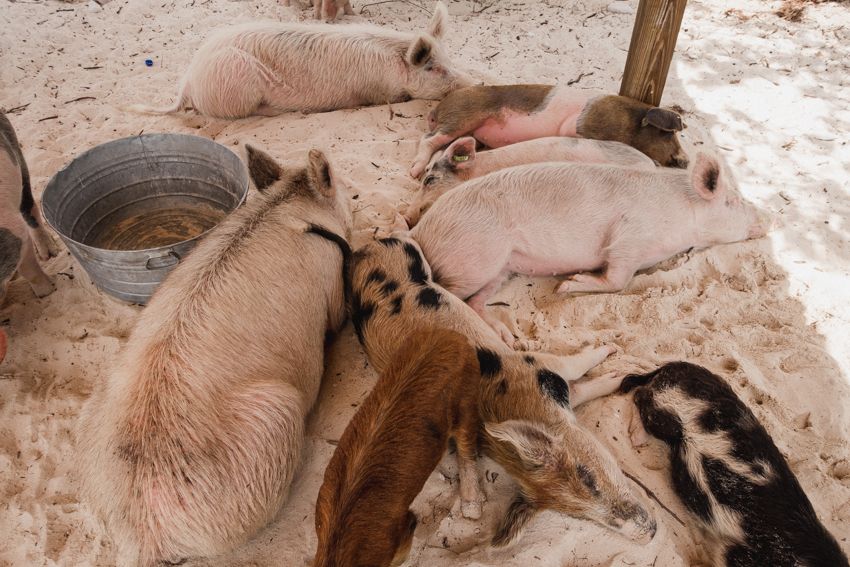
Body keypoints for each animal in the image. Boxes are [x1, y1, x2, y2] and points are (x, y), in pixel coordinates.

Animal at [76, 145, 353, 566]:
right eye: (344, 191)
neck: (290, 208)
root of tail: (146, 535)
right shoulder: (333, 280)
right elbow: (337, 316)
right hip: (277, 416)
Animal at [126, 2, 470, 119]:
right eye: (434, 68)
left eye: (450, 59)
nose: (470, 82)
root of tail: (187, 83)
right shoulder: (379, 93)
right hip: (237, 80)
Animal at [350, 230, 656, 545]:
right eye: (578, 516)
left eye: (588, 477)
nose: (651, 533)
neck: (512, 403)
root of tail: (364, 250)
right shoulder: (540, 372)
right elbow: (580, 381)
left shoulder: (540, 365)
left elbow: (578, 370)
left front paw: (614, 354)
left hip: (410, 253)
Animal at [409, 84, 688, 178]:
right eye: (669, 134)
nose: (685, 161)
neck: (629, 121)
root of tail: (440, 107)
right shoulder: (585, 127)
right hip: (461, 117)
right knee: (428, 139)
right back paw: (414, 171)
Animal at [410, 154, 767, 344]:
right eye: (733, 201)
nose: (767, 219)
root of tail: (422, 228)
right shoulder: (628, 236)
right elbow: (618, 279)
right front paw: (568, 285)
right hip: (476, 256)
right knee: (449, 292)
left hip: (501, 267)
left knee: (473, 301)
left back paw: (506, 336)